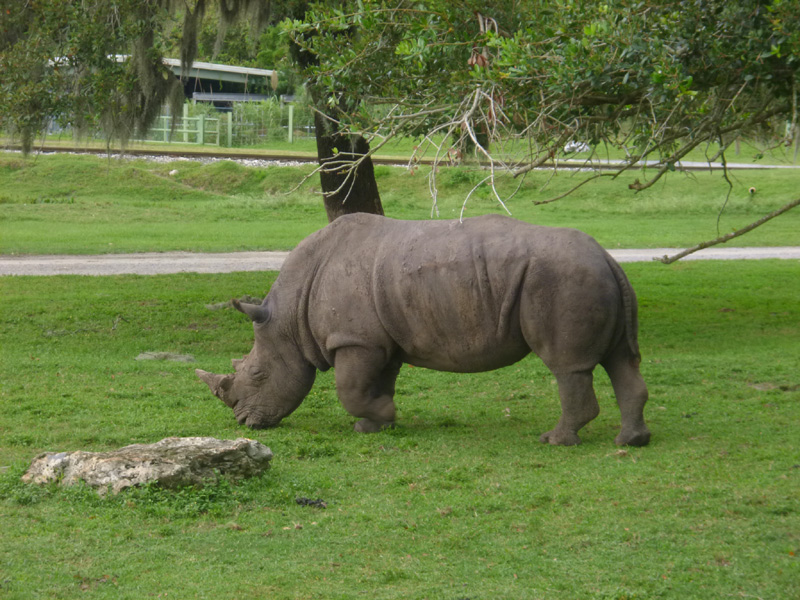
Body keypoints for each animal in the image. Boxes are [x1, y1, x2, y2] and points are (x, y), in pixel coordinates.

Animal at [197, 213, 651, 446]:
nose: (244, 422)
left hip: (562, 278)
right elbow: (376, 383)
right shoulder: (380, 342)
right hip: (591, 277)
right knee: (619, 360)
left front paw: (384, 415)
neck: (289, 316)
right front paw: (376, 425)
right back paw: (631, 441)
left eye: (258, 374)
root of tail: (608, 257)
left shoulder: (354, 341)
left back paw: (555, 440)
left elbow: (349, 390)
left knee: (567, 365)